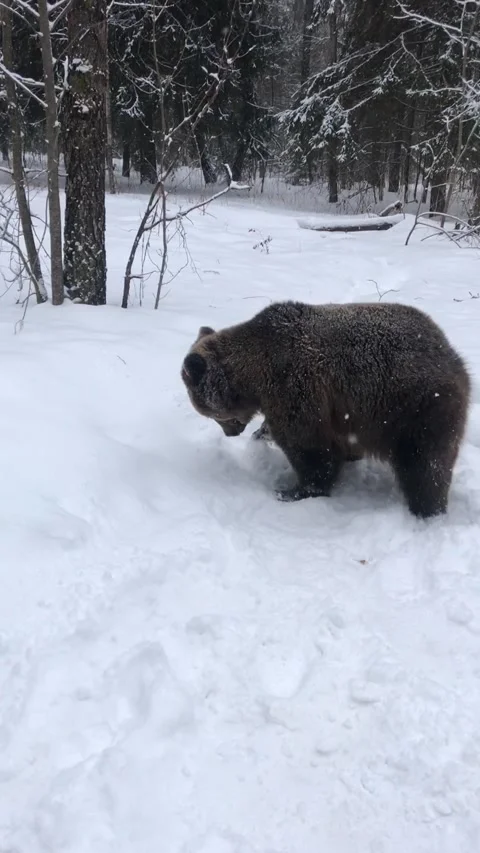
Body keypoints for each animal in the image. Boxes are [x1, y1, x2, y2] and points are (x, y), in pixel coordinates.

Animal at [181, 301, 470, 518]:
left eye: (212, 414)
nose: (231, 433)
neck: (254, 374)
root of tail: (453, 358)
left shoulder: (294, 387)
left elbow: (310, 448)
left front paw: (292, 490)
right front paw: (261, 435)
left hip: (416, 406)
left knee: (425, 462)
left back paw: (426, 510)